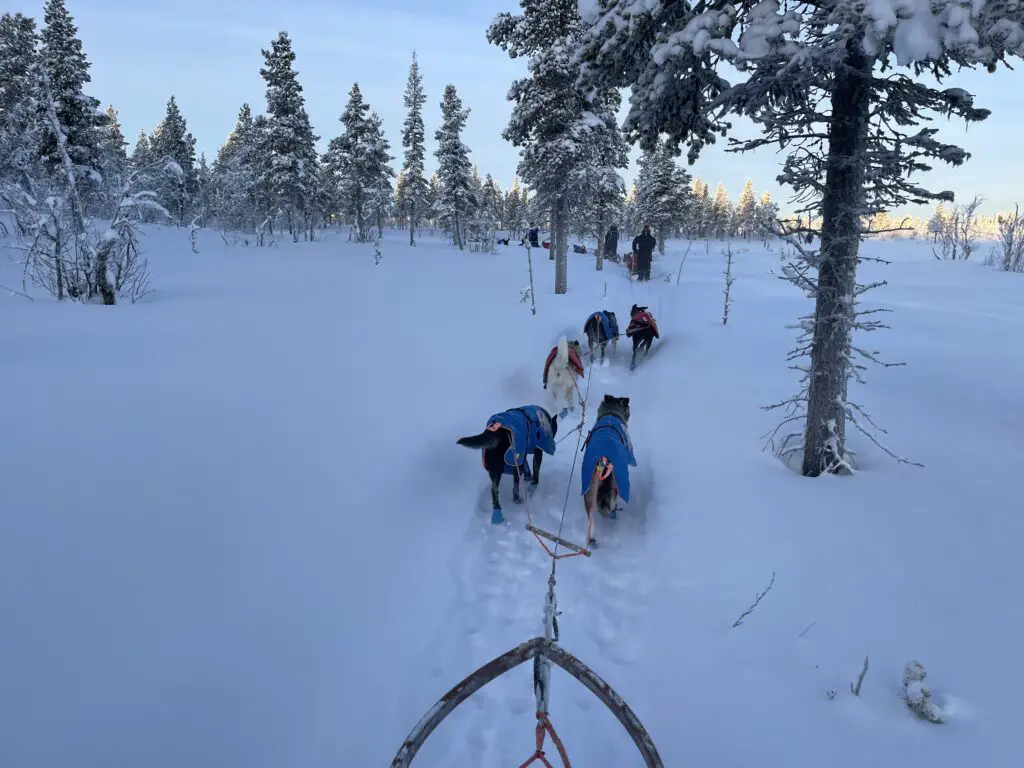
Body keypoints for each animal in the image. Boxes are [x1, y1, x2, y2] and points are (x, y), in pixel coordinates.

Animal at [581, 397, 634, 548]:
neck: (611, 413)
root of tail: (603, 458)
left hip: (589, 488)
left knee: (591, 515)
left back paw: (591, 538)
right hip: (614, 483)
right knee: (610, 503)